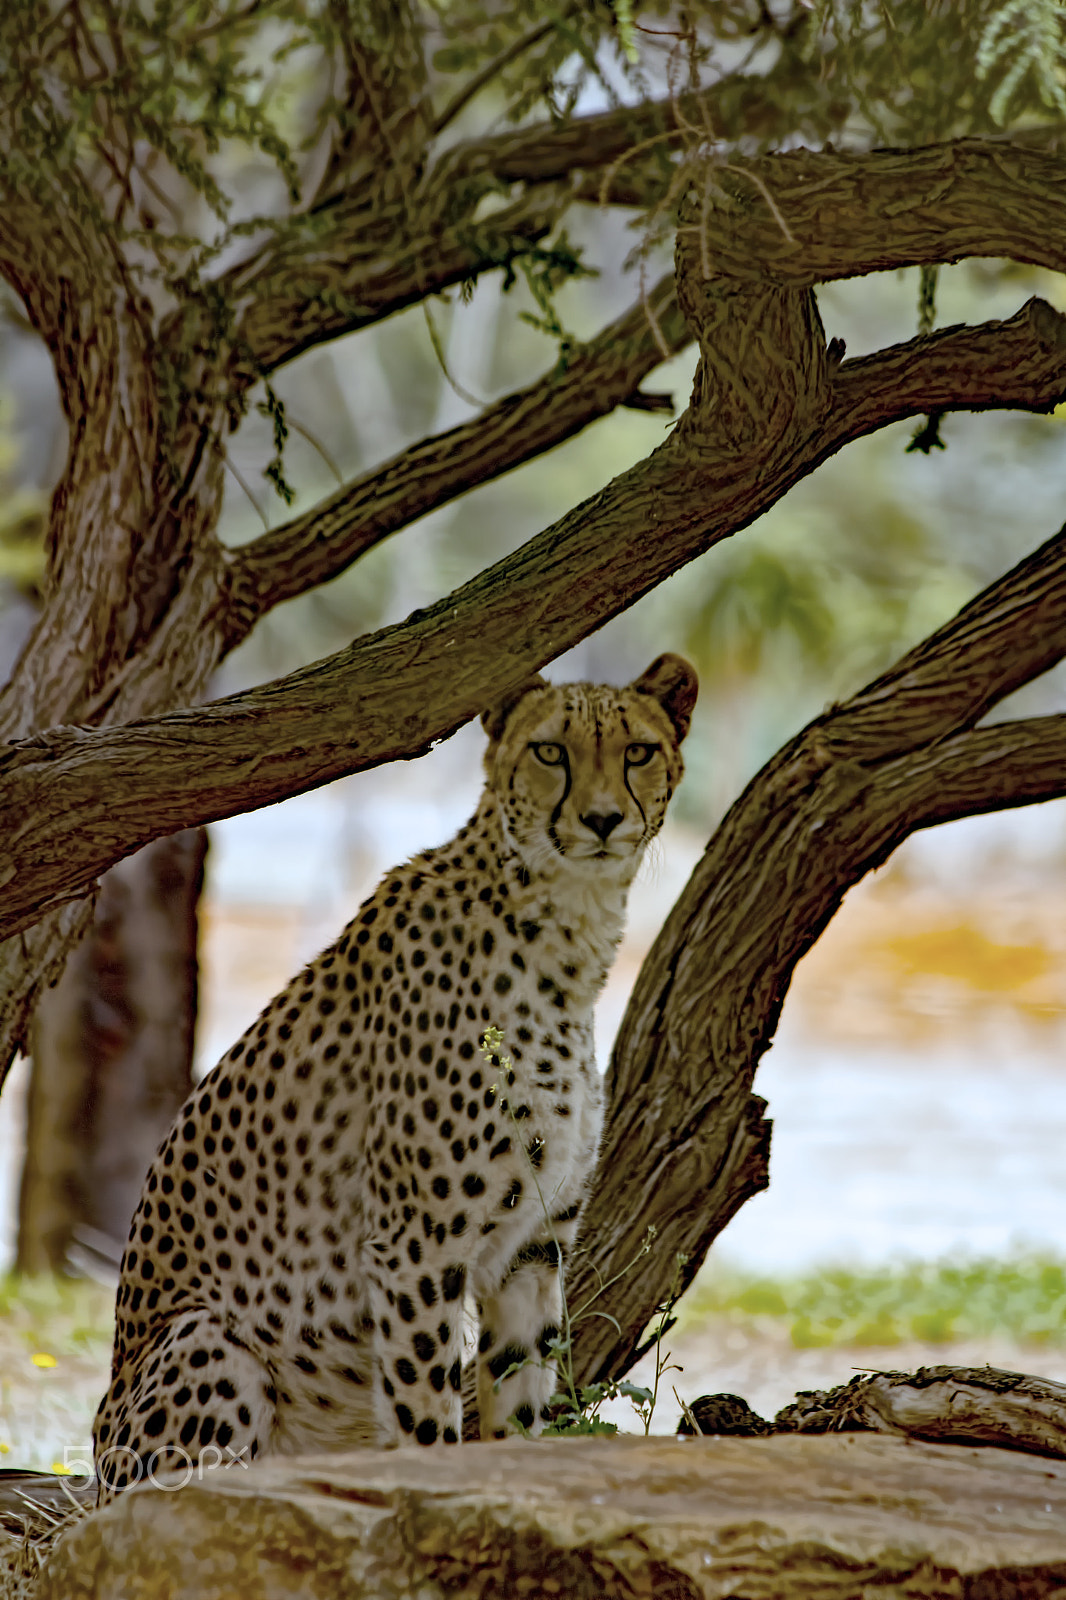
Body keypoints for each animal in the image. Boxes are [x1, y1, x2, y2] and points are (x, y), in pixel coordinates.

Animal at [91, 651, 698, 1497]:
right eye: (551, 751)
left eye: (638, 751)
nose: (605, 819)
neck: (564, 931)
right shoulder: (417, 1248)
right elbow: (426, 1418)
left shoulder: (534, 1248)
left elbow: (519, 1403)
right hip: (210, 1343)